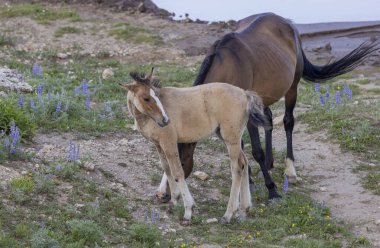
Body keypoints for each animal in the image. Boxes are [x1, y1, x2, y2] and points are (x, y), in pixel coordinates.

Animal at [120, 69, 268, 223]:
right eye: (146, 98)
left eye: (155, 93)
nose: (165, 120)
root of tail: (245, 94)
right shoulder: (159, 145)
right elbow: (167, 170)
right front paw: (173, 202)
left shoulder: (169, 142)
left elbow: (177, 173)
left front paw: (188, 210)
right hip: (228, 138)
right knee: (244, 162)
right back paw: (244, 211)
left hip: (231, 139)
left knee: (237, 168)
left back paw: (228, 214)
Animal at [156, 12, 378, 202]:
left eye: (179, 163)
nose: (164, 195)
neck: (228, 69)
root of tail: (287, 23)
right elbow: (241, 148)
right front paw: (250, 180)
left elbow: (256, 150)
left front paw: (272, 190)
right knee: (270, 119)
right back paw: (271, 163)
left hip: (292, 88)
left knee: (288, 122)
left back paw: (290, 169)